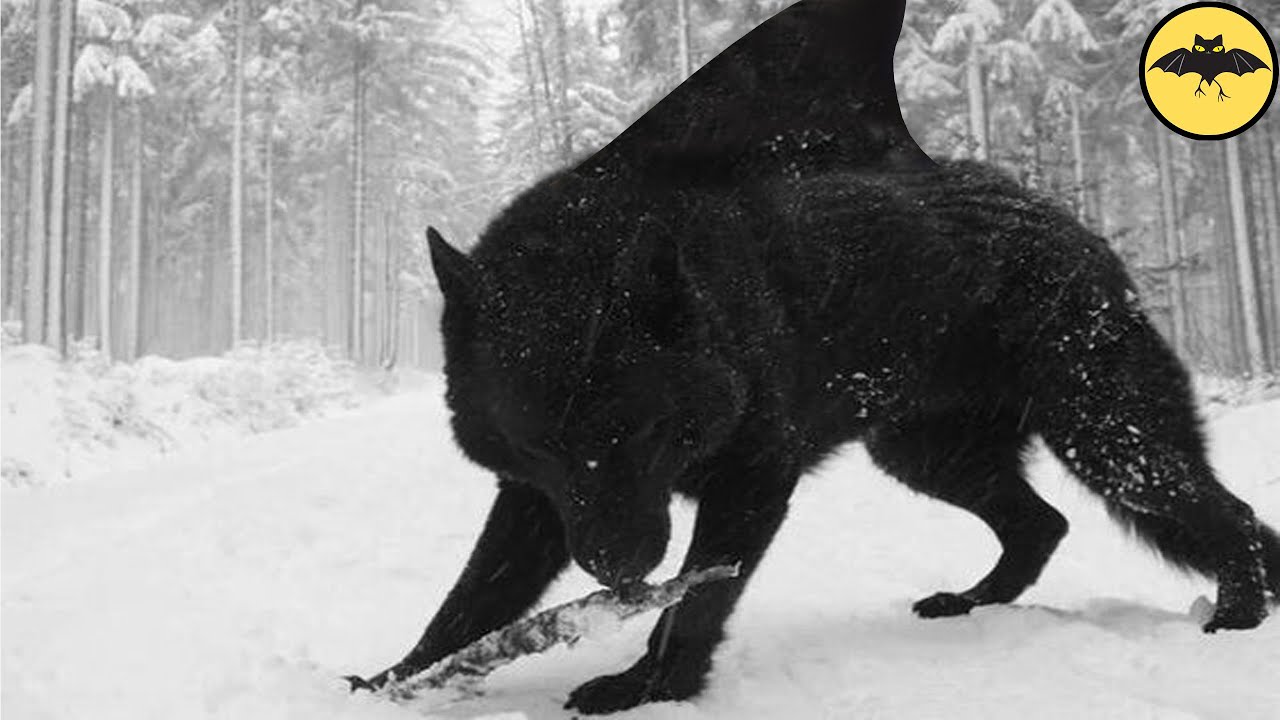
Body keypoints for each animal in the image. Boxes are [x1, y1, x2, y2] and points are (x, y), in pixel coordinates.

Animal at [354, 0, 1280, 713]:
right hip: (925, 453)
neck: (714, 314)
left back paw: (1235, 618)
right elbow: (470, 599)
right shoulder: (542, 499)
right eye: (542, 442)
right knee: (1040, 523)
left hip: (1113, 445)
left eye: (643, 430)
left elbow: (693, 606)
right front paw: (395, 679)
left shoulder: (751, 483)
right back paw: (971, 603)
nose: (618, 570)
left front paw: (646, 688)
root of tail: (1077, 229)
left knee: (1230, 517)